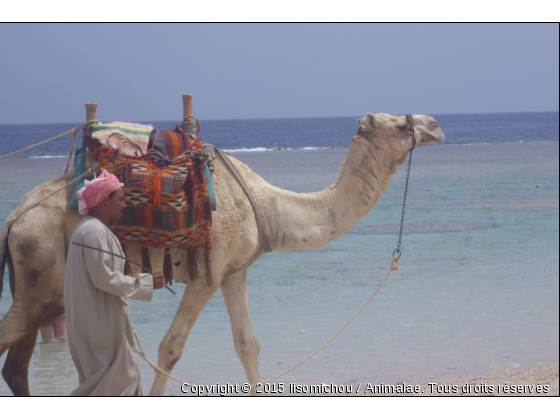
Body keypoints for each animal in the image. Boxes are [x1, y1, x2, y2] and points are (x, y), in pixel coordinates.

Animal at [0, 111, 446, 394]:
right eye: (399, 123)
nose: (437, 124)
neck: (266, 206)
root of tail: (15, 217)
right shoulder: (209, 274)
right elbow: (170, 348)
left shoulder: (235, 271)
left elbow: (248, 344)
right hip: (39, 276)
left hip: (41, 292)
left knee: (16, 366)